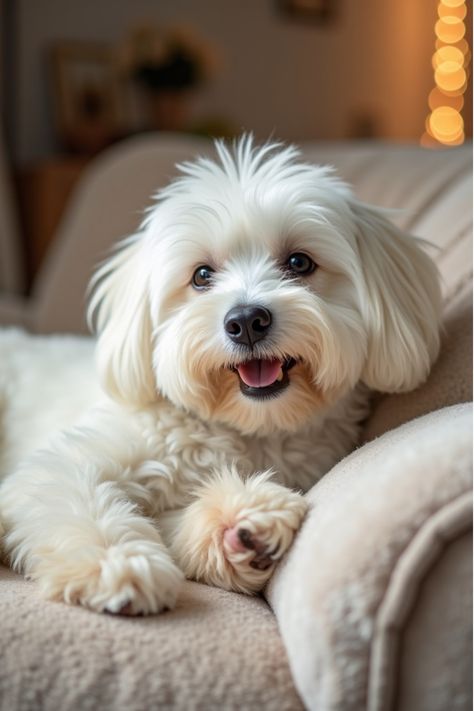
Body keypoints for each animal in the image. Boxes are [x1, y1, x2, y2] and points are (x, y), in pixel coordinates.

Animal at [0, 136, 440, 616]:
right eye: (202, 275)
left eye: (299, 262)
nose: (246, 321)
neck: (245, 429)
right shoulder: (59, 468)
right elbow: (78, 494)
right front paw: (118, 563)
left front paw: (242, 521)